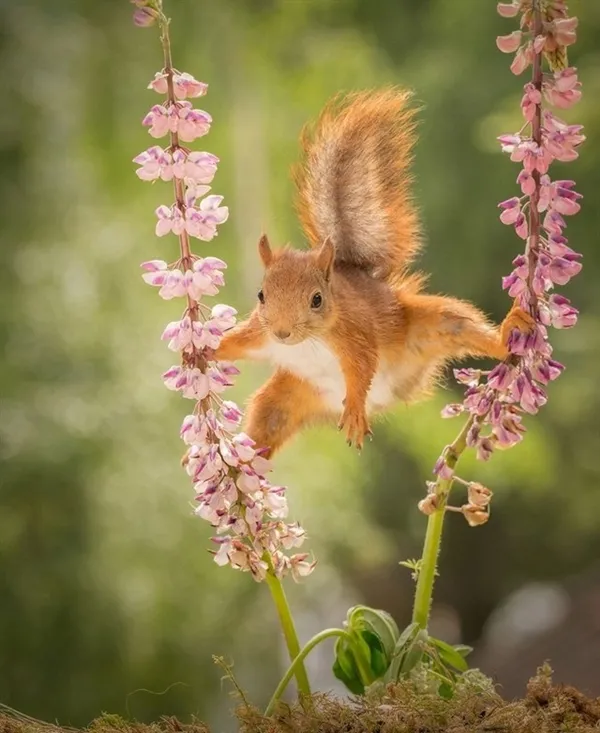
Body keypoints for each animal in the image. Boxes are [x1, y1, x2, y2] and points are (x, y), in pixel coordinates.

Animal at [213, 88, 532, 454]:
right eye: (261, 295)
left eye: (317, 300)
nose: (282, 333)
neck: (309, 342)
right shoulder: (259, 333)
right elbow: (234, 342)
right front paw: (200, 351)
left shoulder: (354, 332)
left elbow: (363, 366)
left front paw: (354, 409)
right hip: (288, 394)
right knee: (268, 421)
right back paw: (238, 463)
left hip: (434, 325)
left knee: (465, 328)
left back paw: (508, 333)